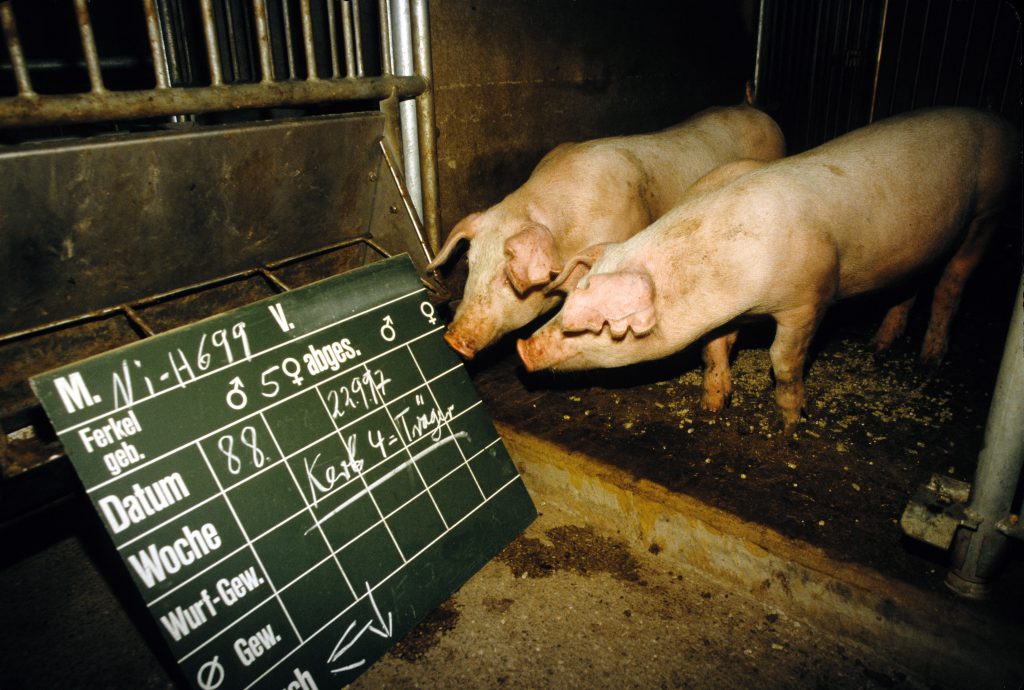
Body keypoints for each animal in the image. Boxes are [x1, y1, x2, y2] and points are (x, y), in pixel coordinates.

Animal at [517, 107, 1018, 433]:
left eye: (596, 326)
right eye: (568, 299)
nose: (523, 349)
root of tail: (999, 123)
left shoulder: (809, 298)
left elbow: (784, 359)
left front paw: (792, 423)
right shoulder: (727, 315)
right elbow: (713, 351)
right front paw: (712, 407)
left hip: (990, 209)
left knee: (953, 280)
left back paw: (929, 364)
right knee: (911, 286)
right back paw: (879, 347)